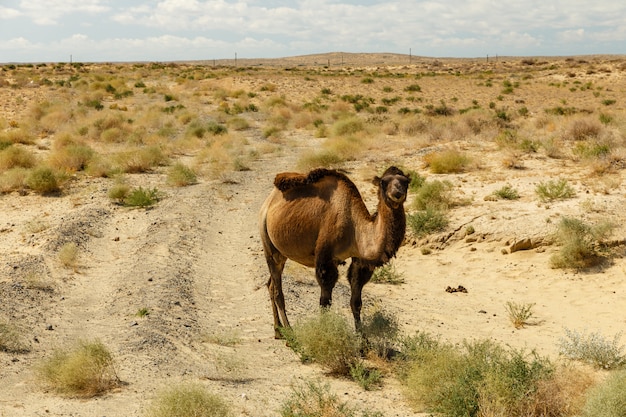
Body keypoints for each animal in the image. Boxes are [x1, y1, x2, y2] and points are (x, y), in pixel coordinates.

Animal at [258, 164, 410, 336]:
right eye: (383, 183)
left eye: (406, 182)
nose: (397, 193)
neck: (354, 226)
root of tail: (268, 202)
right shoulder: (325, 258)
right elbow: (325, 302)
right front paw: (324, 333)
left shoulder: (359, 261)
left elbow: (356, 302)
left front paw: (362, 339)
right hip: (268, 243)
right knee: (278, 291)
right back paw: (289, 331)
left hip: (281, 252)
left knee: (271, 285)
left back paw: (278, 330)